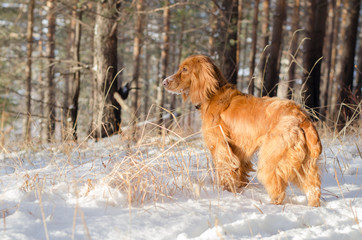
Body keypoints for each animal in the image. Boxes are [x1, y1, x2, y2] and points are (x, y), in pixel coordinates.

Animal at [163, 54, 320, 206]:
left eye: (184, 69)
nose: (164, 82)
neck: (213, 94)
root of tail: (302, 117)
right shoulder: (239, 152)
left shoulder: (221, 147)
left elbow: (224, 170)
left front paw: (225, 190)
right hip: (304, 162)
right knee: (313, 187)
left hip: (271, 158)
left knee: (277, 185)